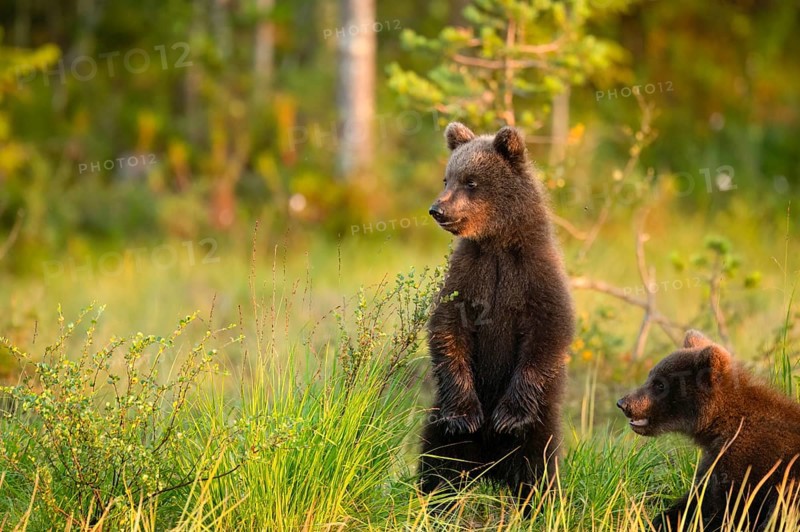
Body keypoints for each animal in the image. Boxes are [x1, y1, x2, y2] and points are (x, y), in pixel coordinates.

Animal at [418, 122, 575, 509]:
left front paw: (507, 416)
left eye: (471, 181)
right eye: (447, 178)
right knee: (437, 455)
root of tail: (488, 469)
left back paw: (538, 502)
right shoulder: (469, 274)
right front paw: (465, 415)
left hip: (542, 419)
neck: (497, 243)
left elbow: (549, 330)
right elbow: (447, 326)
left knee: (537, 462)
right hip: (438, 418)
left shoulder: (534, 275)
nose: (437, 209)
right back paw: (435, 499)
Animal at [617, 330, 800, 531]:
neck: (721, 424)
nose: (624, 403)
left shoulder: (747, 460)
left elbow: (728, 508)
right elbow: (697, 499)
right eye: (650, 376)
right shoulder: (713, 460)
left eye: (660, 385)